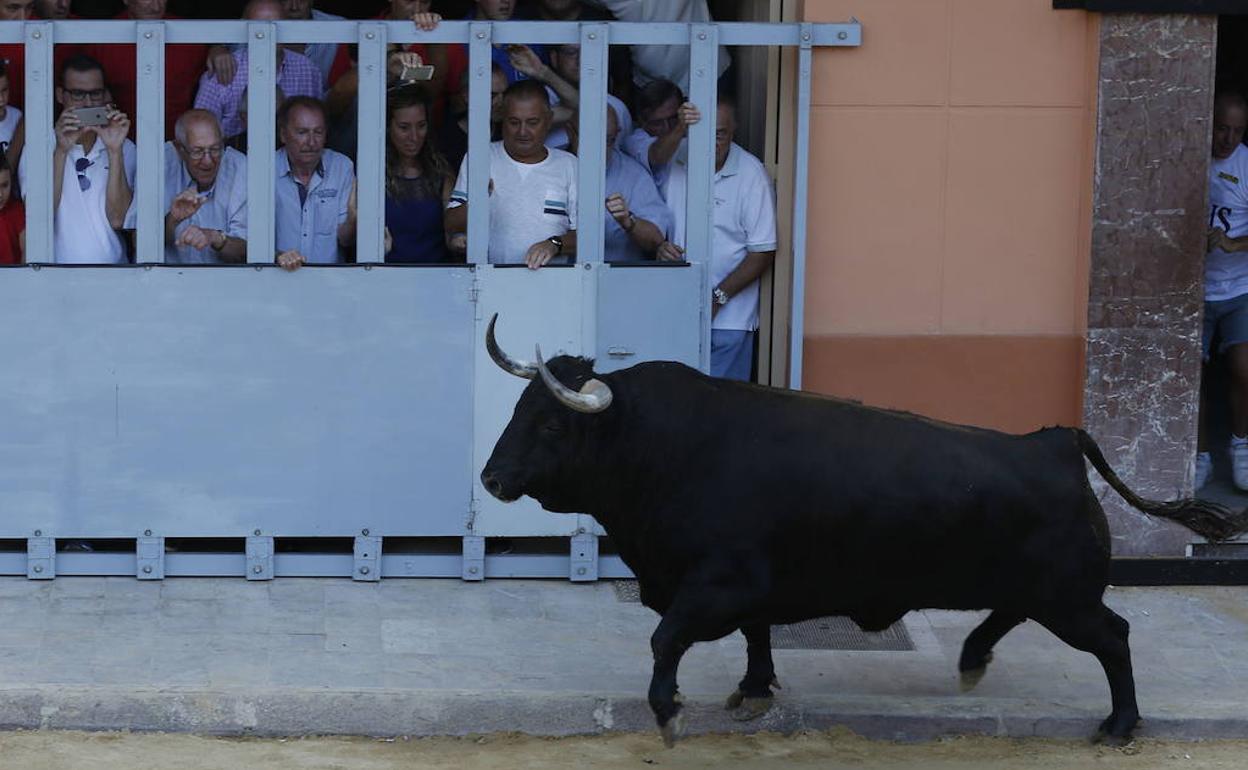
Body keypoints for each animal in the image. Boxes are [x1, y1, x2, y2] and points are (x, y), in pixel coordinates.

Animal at [479, 313, 1248, 743]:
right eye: (517, 408)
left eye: (550, 424)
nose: (490, 479)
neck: (656, 444)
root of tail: (1054, 441)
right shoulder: (746, 586)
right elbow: (756, 634)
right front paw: (754, 689)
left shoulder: (716, 582)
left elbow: (667, 640)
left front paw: (668, 714)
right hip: (1042, 589)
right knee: (1011, 615)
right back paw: (971, 659)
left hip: (1070, 597)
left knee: (1114, 639)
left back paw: (1118, 725)